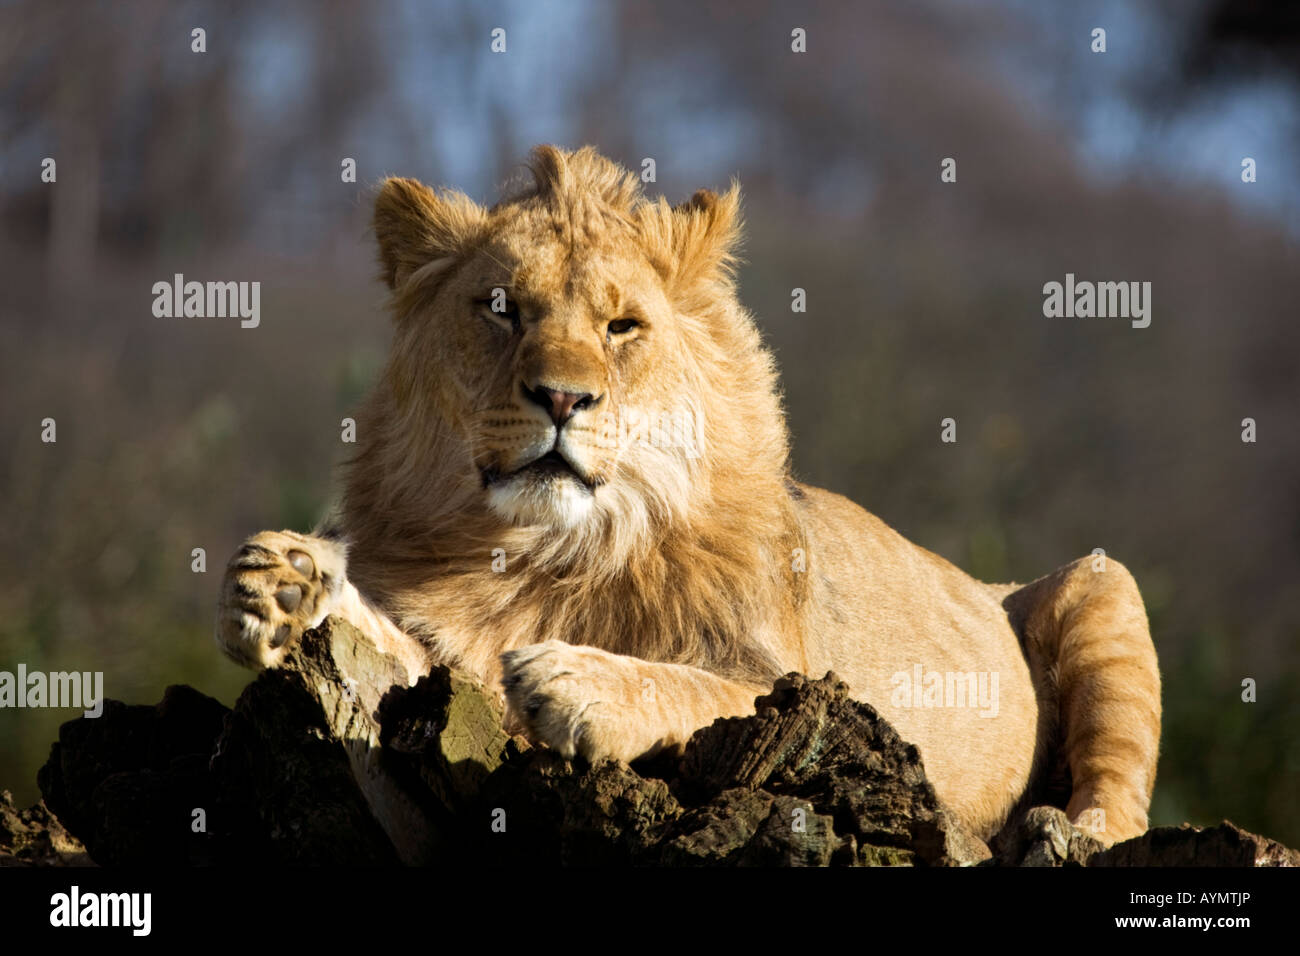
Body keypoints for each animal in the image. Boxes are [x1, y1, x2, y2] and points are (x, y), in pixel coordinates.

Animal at [213, 141, 1159, 842]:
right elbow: (398, 651)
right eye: (500, 307)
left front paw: (574, 680)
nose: (562, 397)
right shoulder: (447, 675)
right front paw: (282, 584)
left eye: (621, 326)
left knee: (1120, 796)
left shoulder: (797, 682)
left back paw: (1066, 834)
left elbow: (691, 686)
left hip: (1100, 581)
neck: (546, 551)